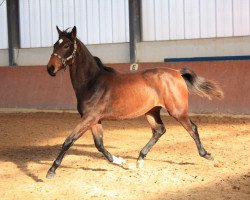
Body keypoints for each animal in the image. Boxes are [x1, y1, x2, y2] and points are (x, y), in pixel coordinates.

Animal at [46, 26, 224, 178]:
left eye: (67, 45)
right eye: (55, 44)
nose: (50, 69)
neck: (92, 82)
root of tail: (176, 72)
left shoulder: (89, 118)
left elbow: (69, 140)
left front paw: (51, 170)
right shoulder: (94, 120)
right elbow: (99, 144)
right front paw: (121, 162)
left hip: (177, 111)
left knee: (192, 128)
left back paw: (208, 155)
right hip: (151, 111)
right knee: (159, 130)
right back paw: (139, 159)